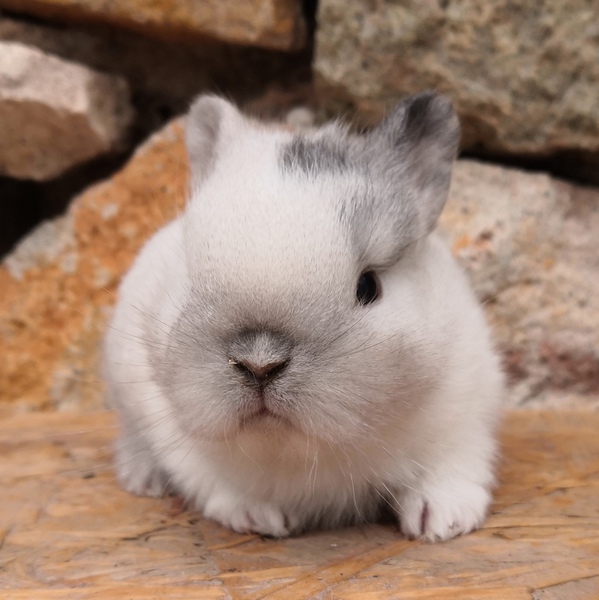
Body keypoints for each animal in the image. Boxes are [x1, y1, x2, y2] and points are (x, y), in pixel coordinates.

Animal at [102, 91, 504, 542]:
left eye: (368, 287)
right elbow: (224, 488)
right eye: (188, 277)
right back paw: (143, 479)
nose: (260, 364)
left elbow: (450, 470)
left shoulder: (464, 416)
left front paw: (443, 522)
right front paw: (257, 517)